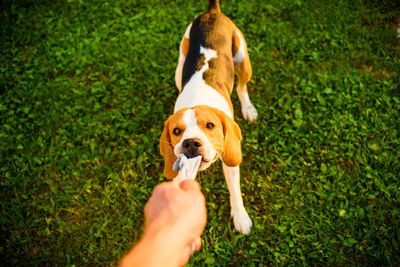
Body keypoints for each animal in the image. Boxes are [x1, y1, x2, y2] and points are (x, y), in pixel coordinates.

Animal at [159, 0, 256, 234]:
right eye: (177, 131)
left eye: (210, 126)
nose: (191, 143)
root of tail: (212, 12)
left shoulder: (230, 157)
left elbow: (235, 191)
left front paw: (240, 216)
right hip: (180, 63)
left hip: (243, 60)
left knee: (241, 86)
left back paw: (248, 108)